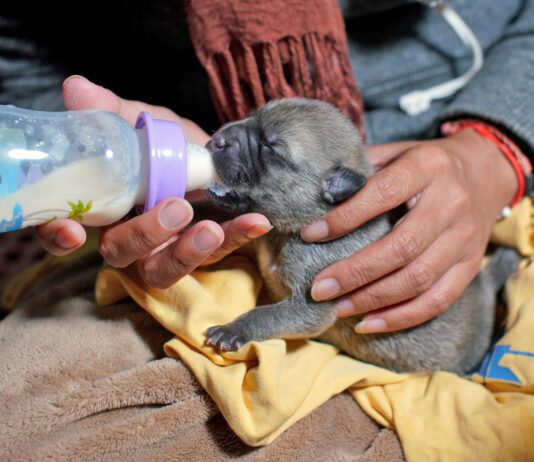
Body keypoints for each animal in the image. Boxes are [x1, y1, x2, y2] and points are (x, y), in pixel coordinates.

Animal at [204, 99, 520, 374]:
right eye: (251, 114)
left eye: (271, 149)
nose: (217, 137)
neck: (291, 230)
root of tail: (484, 284)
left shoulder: (309, 302)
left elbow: (268, 315)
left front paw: (233, 329)